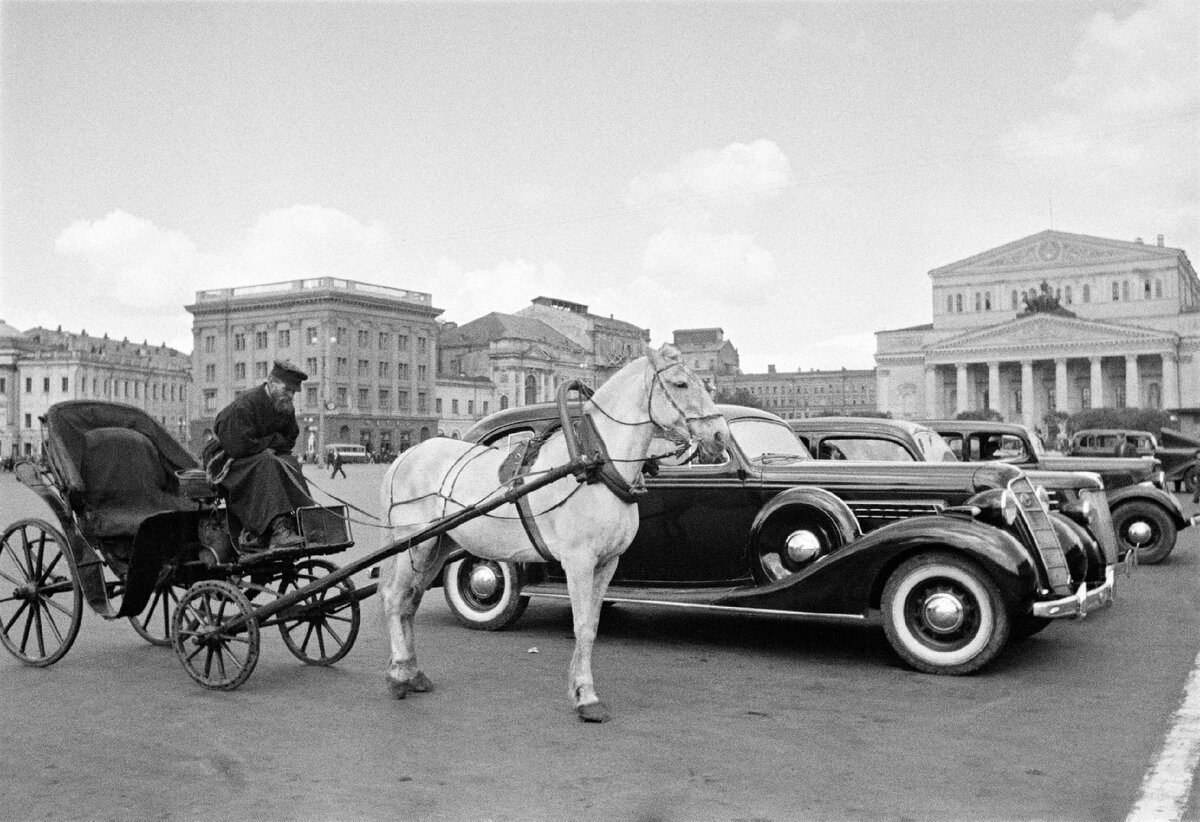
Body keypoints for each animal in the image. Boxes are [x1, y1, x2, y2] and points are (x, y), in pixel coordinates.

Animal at [379, 343, 724, 720]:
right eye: (680, 384)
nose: (720, 436)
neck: (596, 465)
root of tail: (406, 455)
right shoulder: (578, 561)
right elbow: (581, 625)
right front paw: (587, 696)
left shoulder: (608, 563)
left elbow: (592, 625)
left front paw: (578, 688)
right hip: (412, 544)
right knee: (394, 599)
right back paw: (398, 675)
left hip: (437, 546)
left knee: (410, 602)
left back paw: (413, 672)